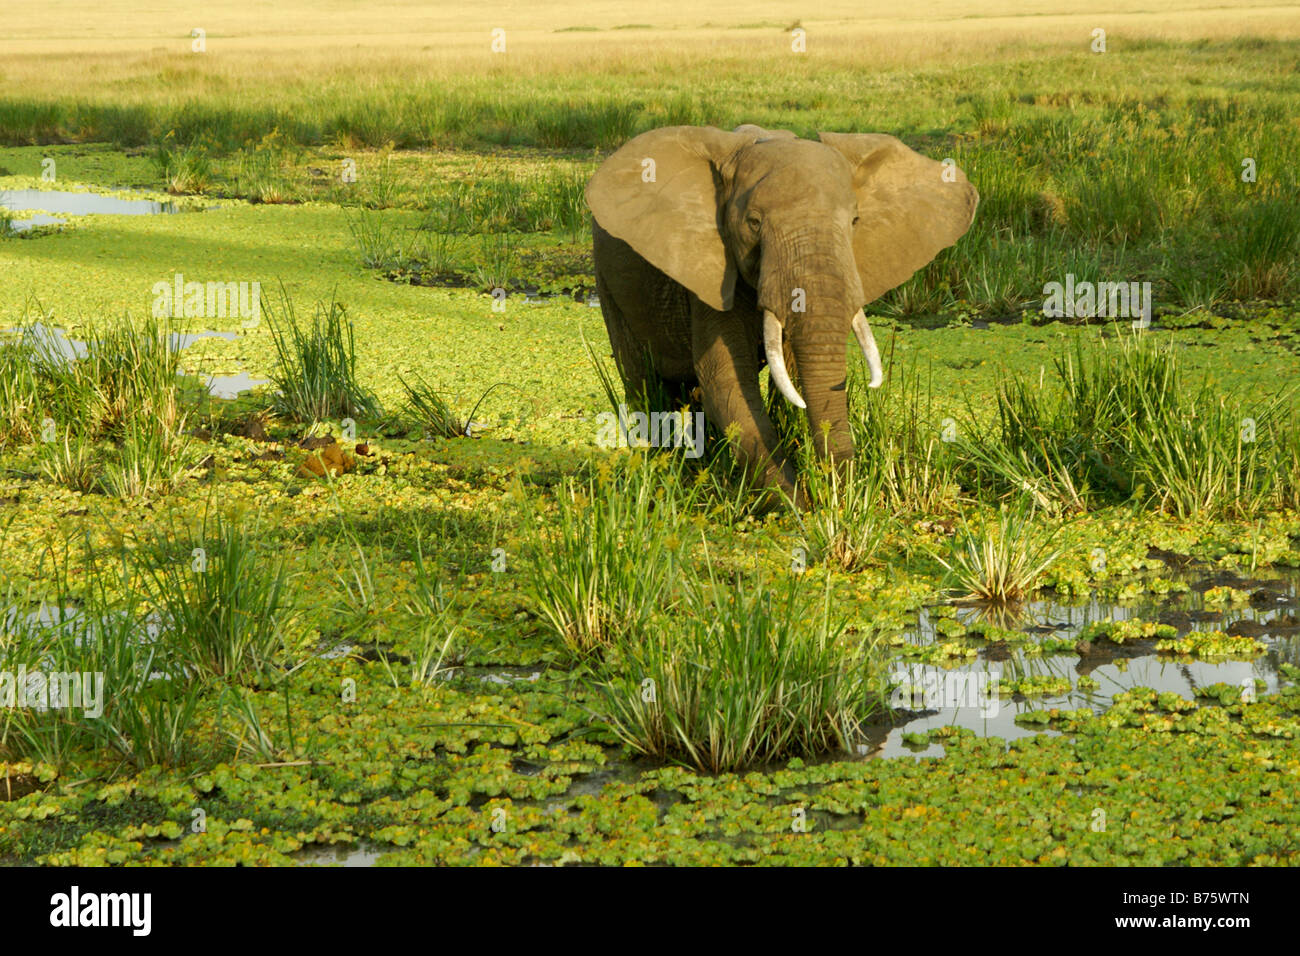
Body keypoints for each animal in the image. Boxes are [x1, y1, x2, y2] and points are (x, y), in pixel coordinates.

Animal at [587, 121, 977, 502]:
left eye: (855, 221)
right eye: (753, 223)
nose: (843, 495)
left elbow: (790, 372)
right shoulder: (713, 272)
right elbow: (726, 380)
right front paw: (796, 506)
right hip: (607, 281)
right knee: (644, 385)